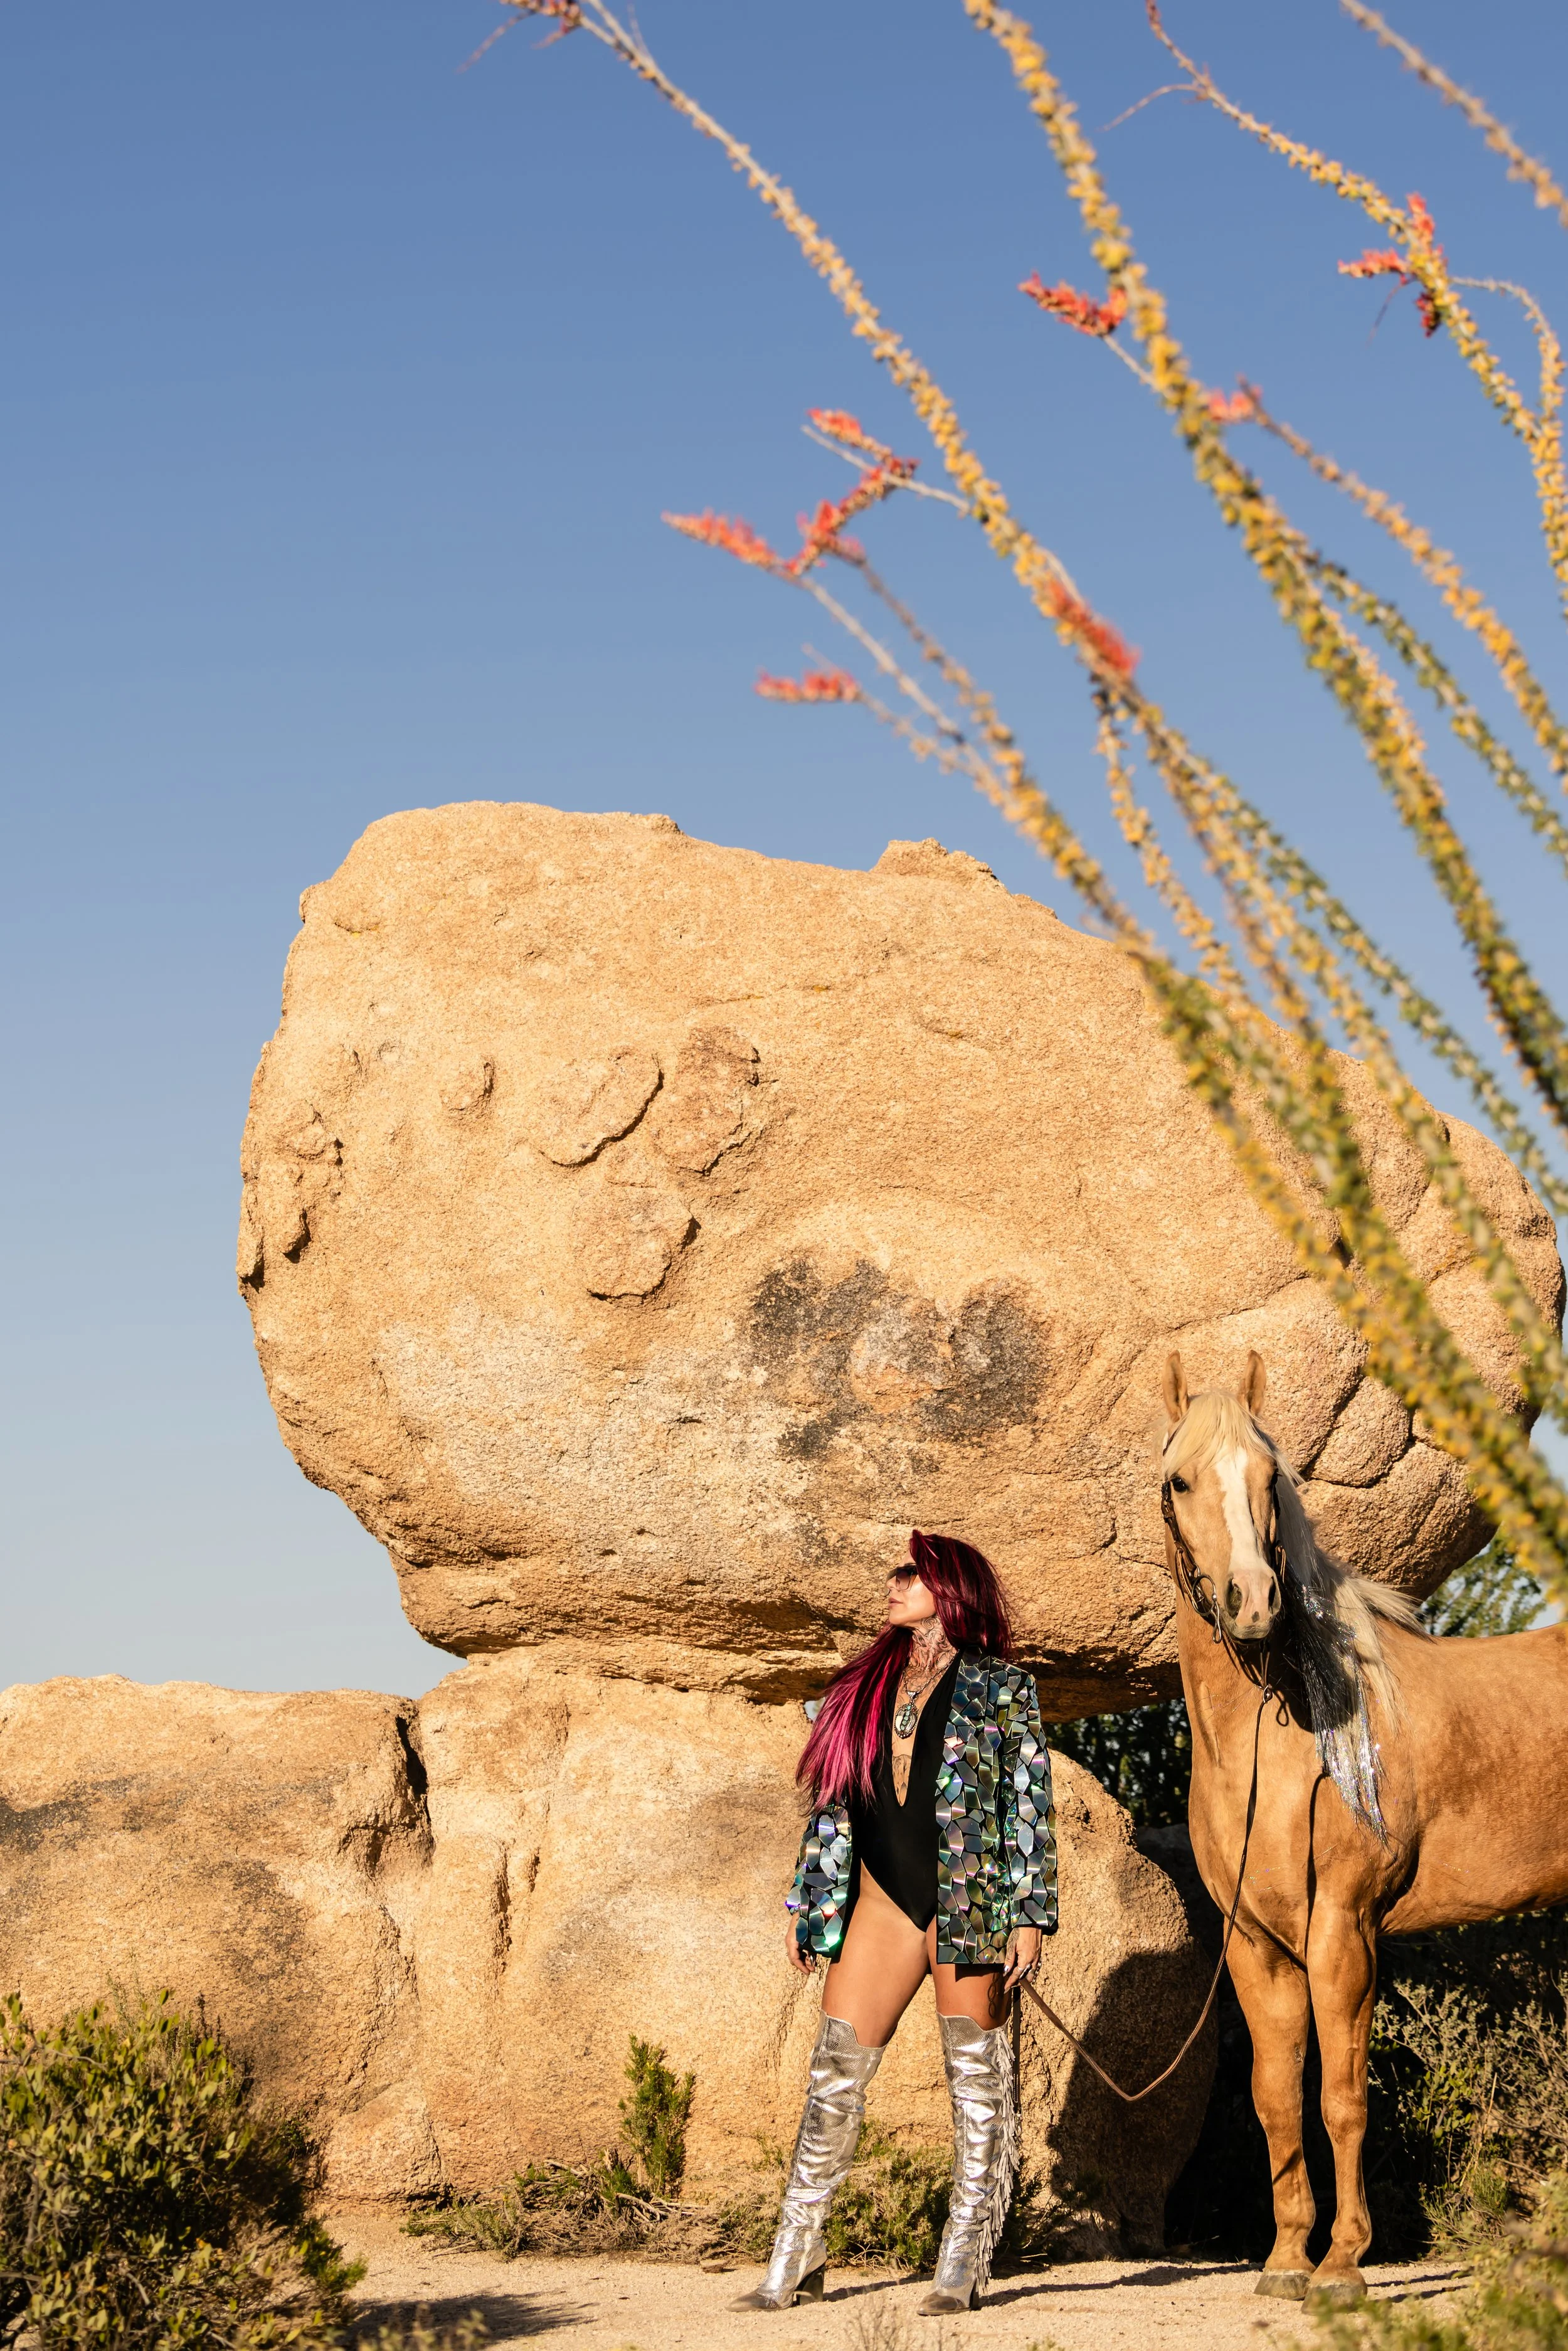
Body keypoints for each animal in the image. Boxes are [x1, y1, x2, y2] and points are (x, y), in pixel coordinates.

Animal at [1160, 1349, 1568, 2310]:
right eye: (1179, 1480)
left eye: (1270, 1477)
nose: (1253, 1602)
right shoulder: (1257, 1946)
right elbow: (1277, 2095)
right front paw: (1285, 2260)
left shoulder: (1343, 1931)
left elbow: (1342, 2095)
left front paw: (1343, 2265)